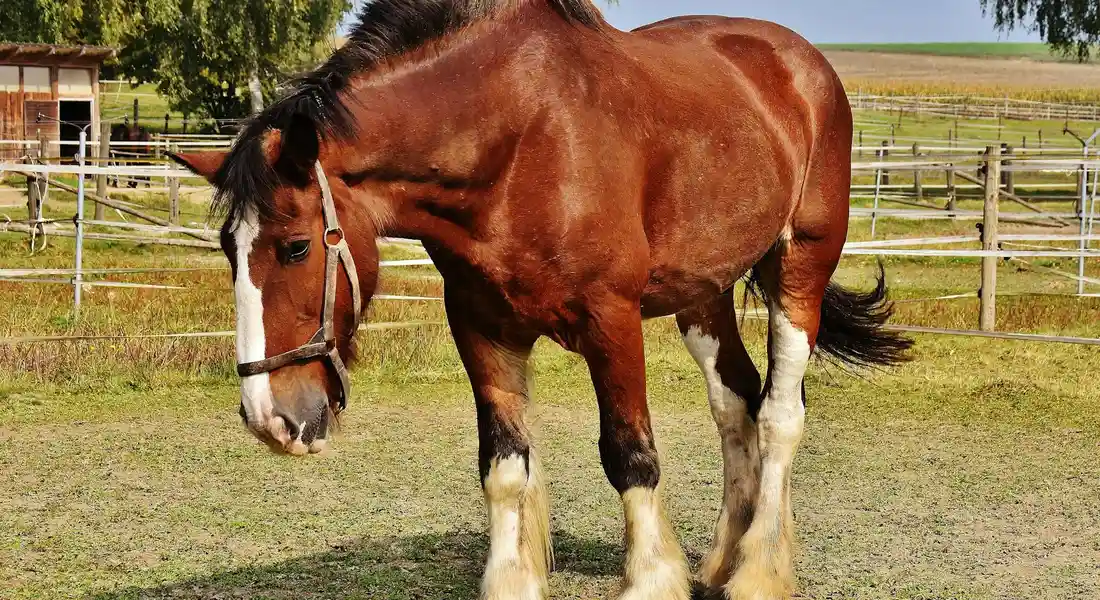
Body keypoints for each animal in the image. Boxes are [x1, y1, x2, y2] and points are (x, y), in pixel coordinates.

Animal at [171, 1, 912, 598]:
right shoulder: (481, 327)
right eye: (228, 248)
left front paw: (651, 579)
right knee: (736, 402)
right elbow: (503, 466)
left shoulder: (611, 321)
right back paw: (721, 562)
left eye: (296, 246)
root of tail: (802, 65)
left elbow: (630, 456)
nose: (269, 419)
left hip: (799, 267)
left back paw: (757, 572)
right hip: (704, 294)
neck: (518, 140)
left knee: (780, 414)